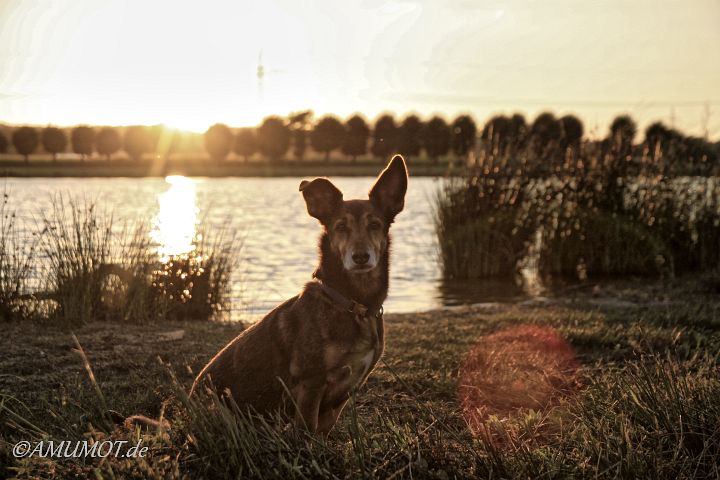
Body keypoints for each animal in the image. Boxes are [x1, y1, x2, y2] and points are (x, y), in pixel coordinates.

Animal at [188, 156, 408, 434]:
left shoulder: (342, 396)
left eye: (375, 225)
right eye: (340, 227)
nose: (360, 257)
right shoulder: (311, 384)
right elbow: (307, 432)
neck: (353, 303)